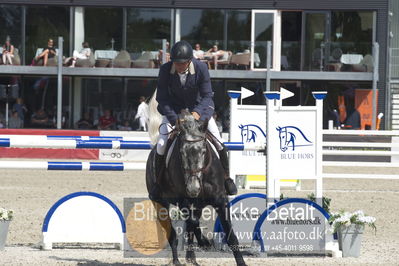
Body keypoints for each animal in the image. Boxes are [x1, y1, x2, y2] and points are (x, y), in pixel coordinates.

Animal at [147, 107, 247, 264]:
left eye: (204, 151)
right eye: (181, 153)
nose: (193, 189)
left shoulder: (221, 200)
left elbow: (230, 235)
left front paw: (241, 262)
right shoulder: (184, 200)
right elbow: (193, 222)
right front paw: (204, 242)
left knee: (190, 226)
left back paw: (191, 257)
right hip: (161, 203)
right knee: (175, 233)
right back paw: (177, 260)